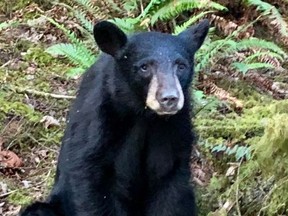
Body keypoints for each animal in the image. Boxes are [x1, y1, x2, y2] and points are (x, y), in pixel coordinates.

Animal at [20, 19, 209, 215]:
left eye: (181, 66)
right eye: (144, 67)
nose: (169, 98)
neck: (143, 115)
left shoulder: (174, 128)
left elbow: (169, 182)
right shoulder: (99, 121)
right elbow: (90, 181)